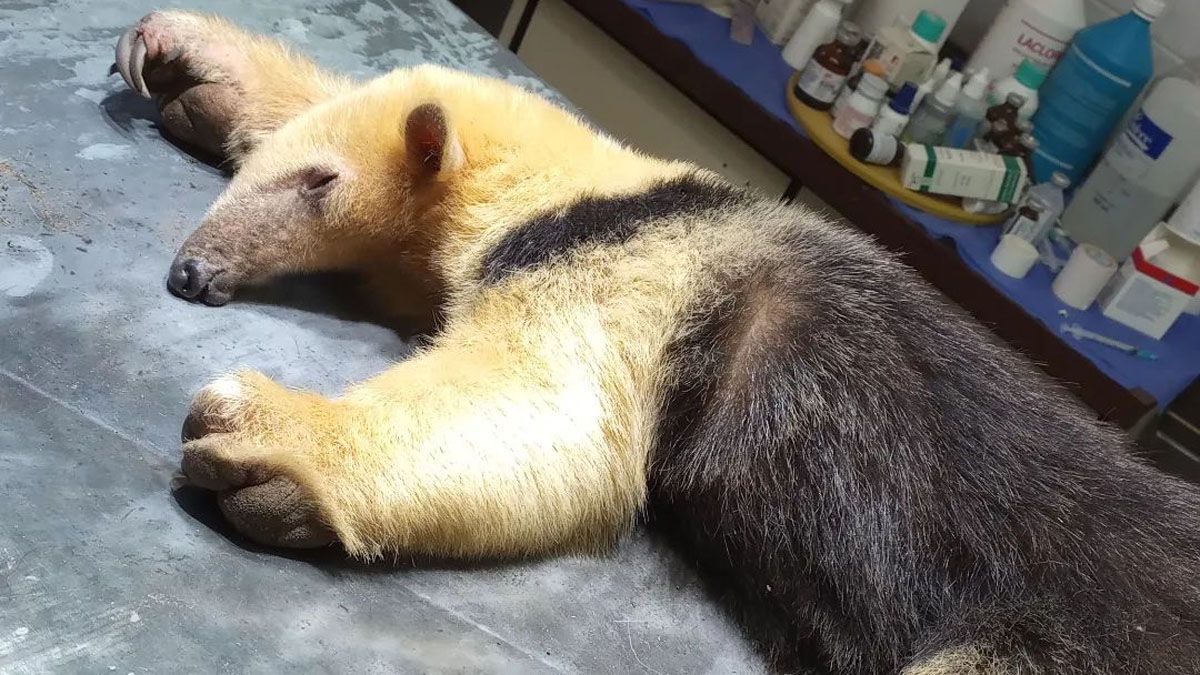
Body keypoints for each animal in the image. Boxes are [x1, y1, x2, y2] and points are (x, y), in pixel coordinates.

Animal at [113, 11, 1200, 674]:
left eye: (321, 185)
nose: (192, 274)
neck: (597, 188)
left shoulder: (632, 273)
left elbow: (555, 417)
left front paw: (260, 431)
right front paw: (193, 64)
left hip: (1047, 638)